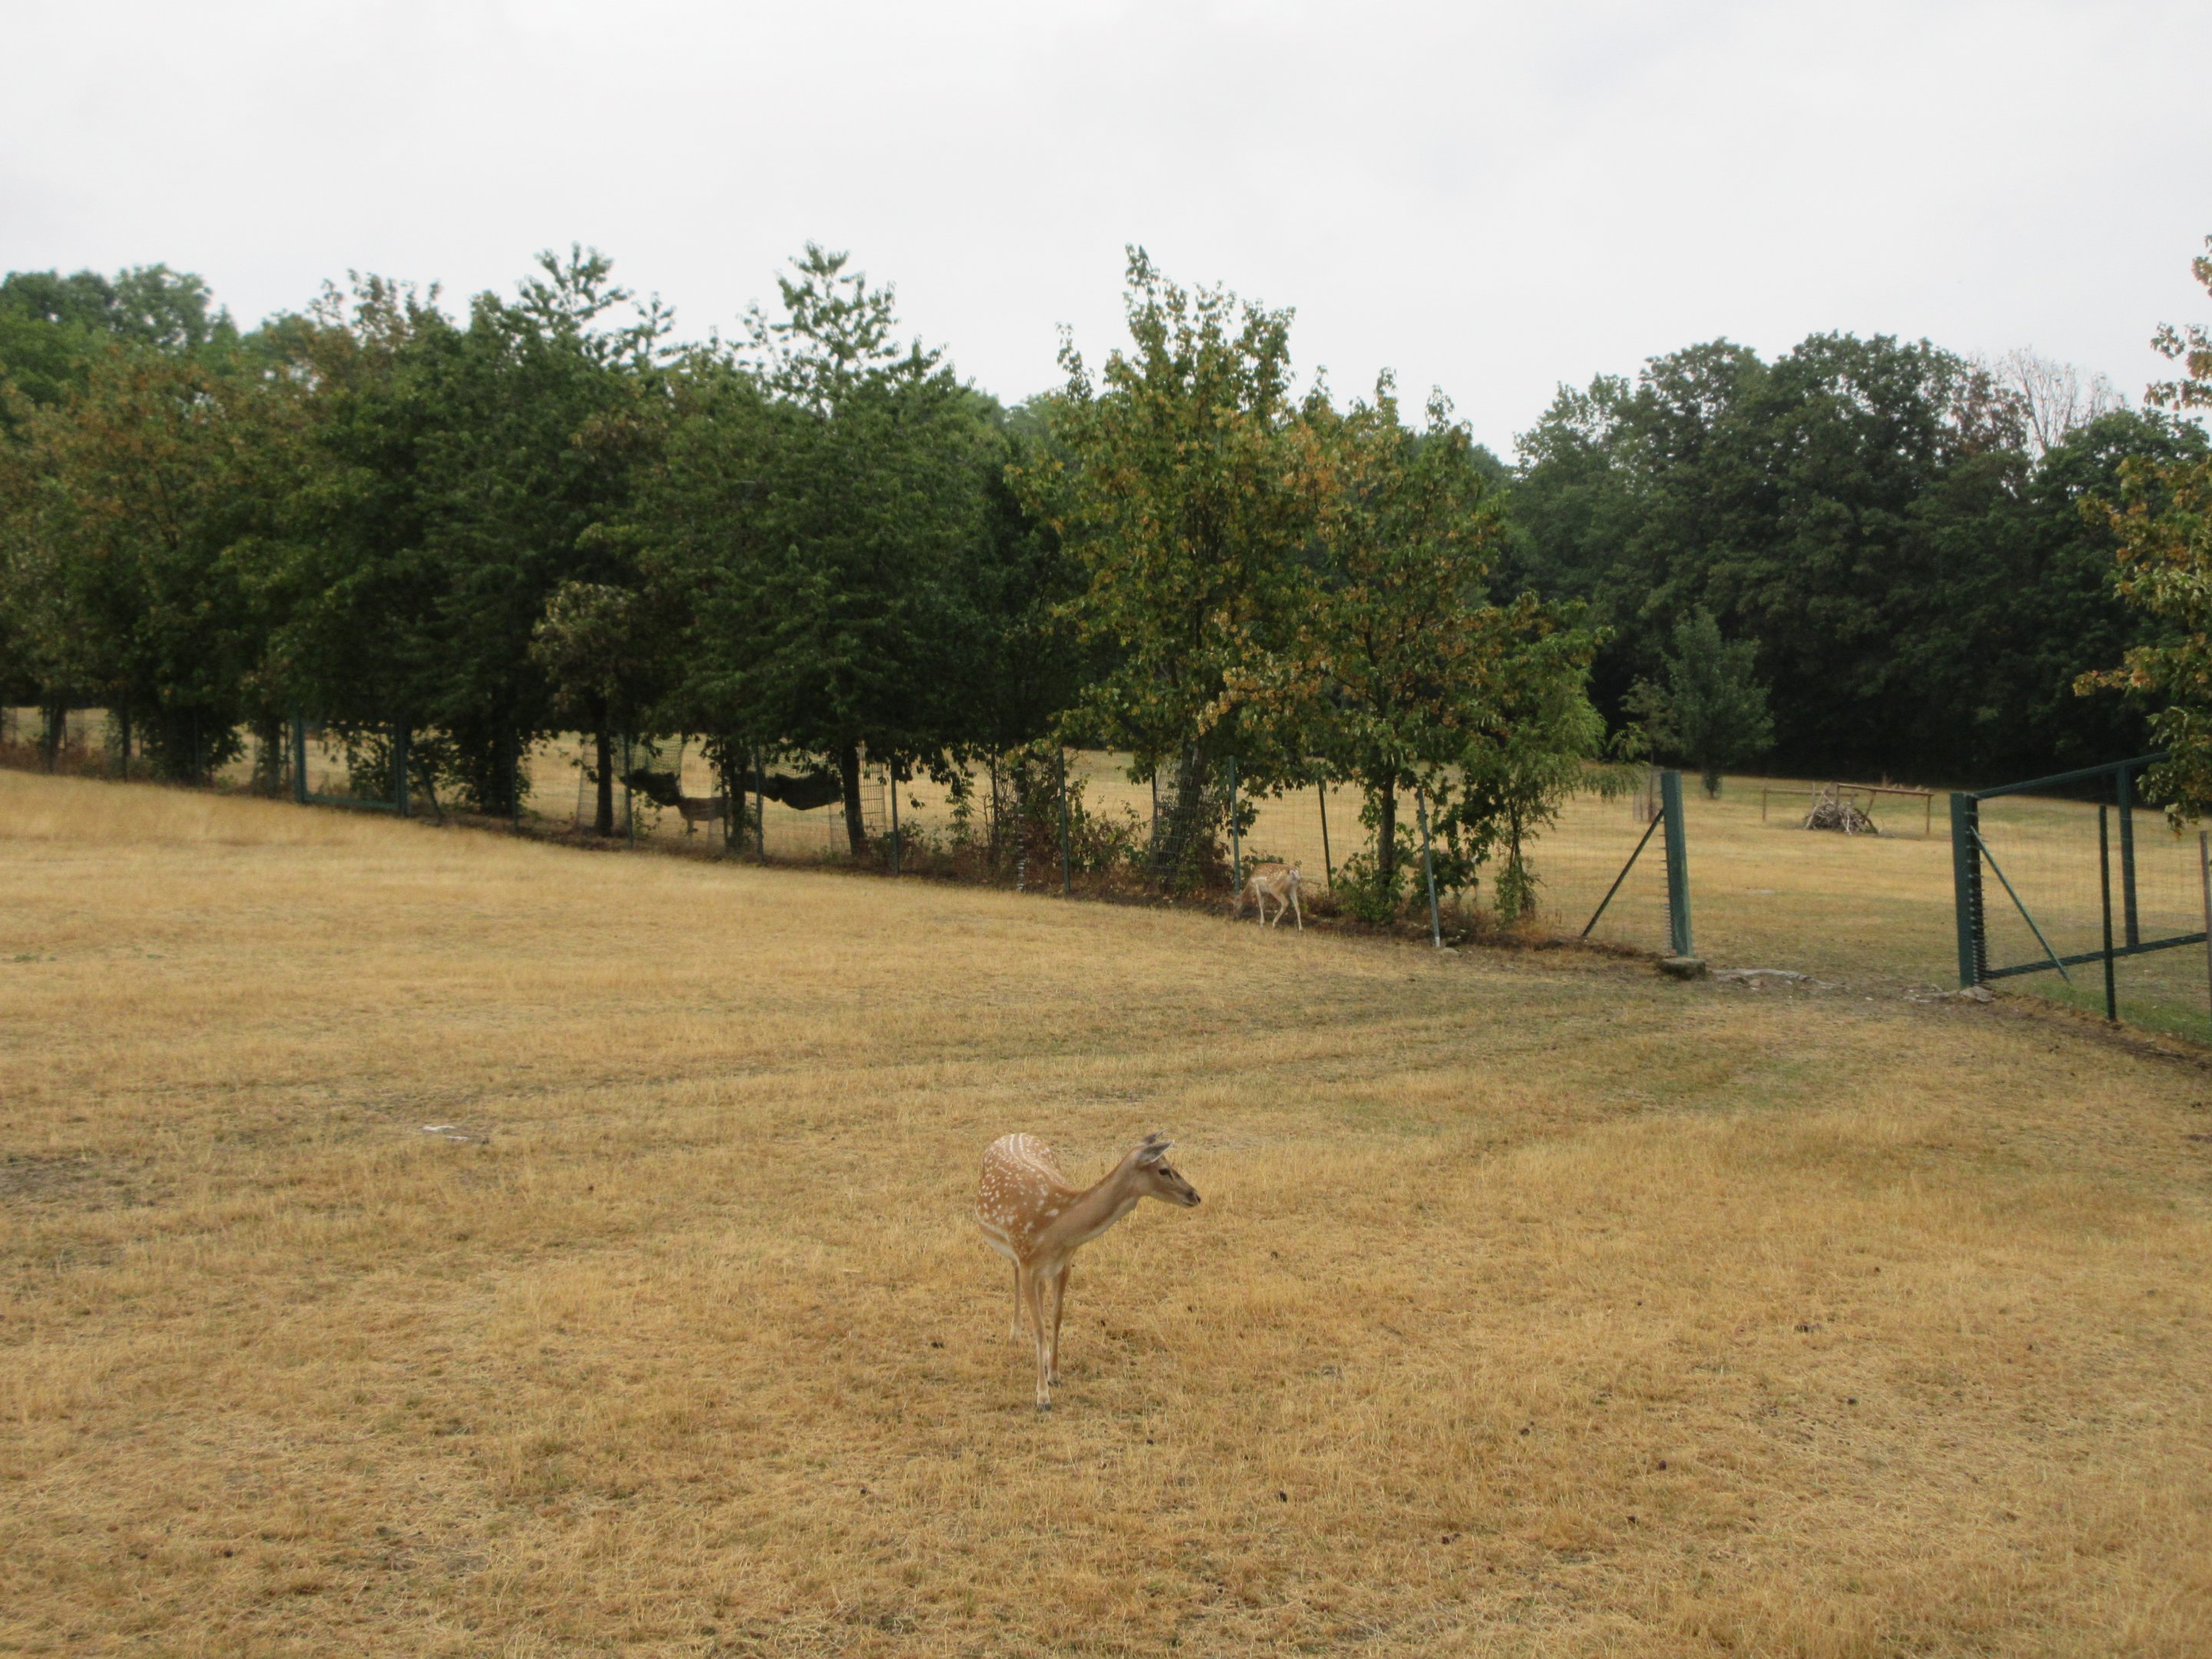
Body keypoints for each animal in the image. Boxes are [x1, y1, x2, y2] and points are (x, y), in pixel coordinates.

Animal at [973, 1131, 1201, 1410]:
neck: (1056, 1228)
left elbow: (1057, 1317)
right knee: (1014, 1272)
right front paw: (1042, 1397)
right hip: (1017, 1254)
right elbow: (1038, 1328)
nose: (1195, 1195)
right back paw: (1015, 1334)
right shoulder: (1027, 1261)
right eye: (1164, 1169)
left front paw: (1055, 1375)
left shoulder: (1065, 1263)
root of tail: (1012, 1134)